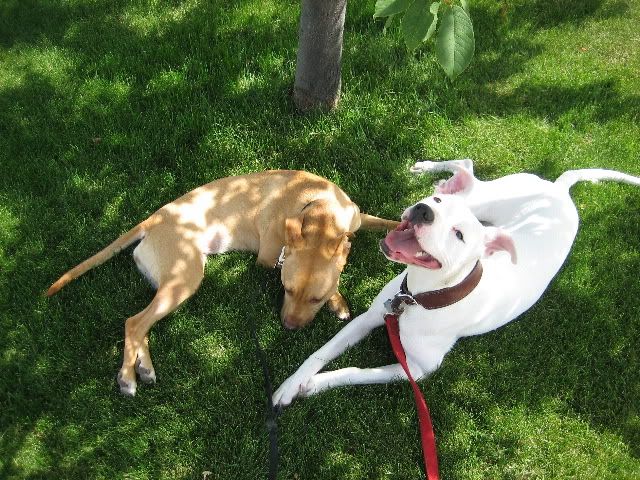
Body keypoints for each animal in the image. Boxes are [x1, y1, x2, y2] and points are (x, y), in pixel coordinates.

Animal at [46, 171, 396, 396]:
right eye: (287, 290)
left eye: (314, 299)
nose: (288, 328)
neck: (318, 210)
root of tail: (153, 219)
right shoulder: (269, 259)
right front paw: (339, 300)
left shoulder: (359, 219)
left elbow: (388, 223)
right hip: (184, 279)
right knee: (134, 322)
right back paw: (127, 378)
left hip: (168, 285)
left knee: (141, 324)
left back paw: (143, 367)